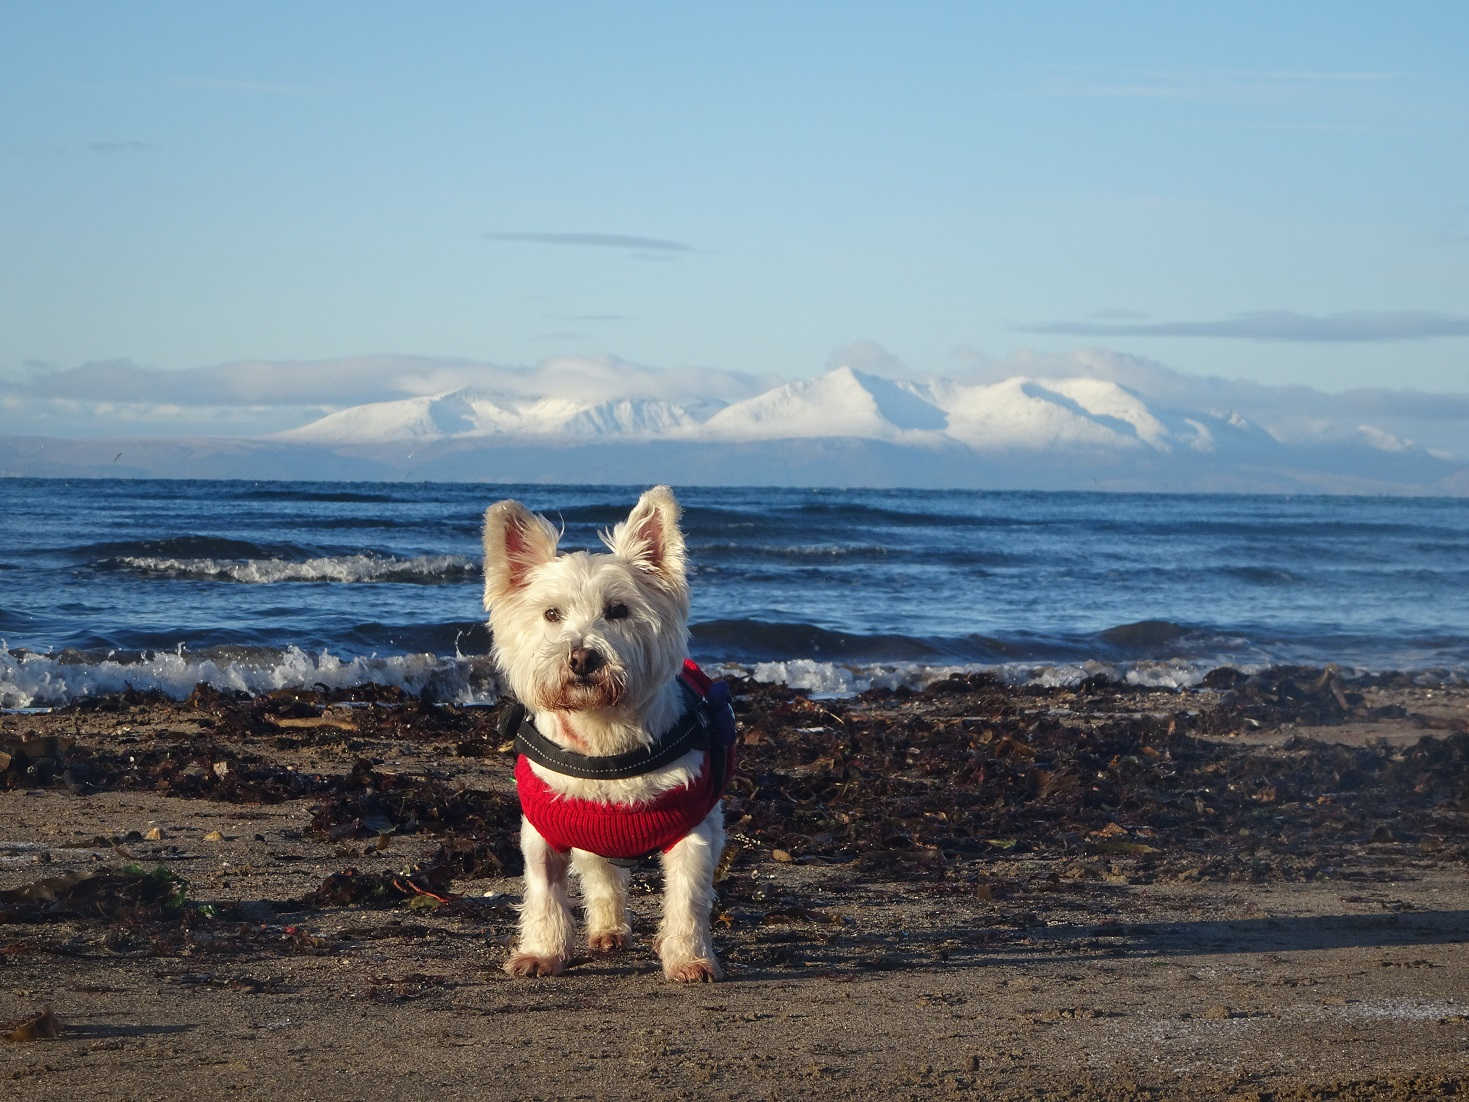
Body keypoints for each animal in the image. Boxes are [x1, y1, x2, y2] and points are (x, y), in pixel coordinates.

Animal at [484, 484, 731, 981]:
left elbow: (687, 899)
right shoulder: (546, 831)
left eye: (618, 610)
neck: (603, 738)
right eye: (551, 613)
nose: (582, 657)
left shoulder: (694, 830)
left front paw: (689, 958)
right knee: (601, 875)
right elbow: (544, 893)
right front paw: (541, 953)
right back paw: (608, 929)